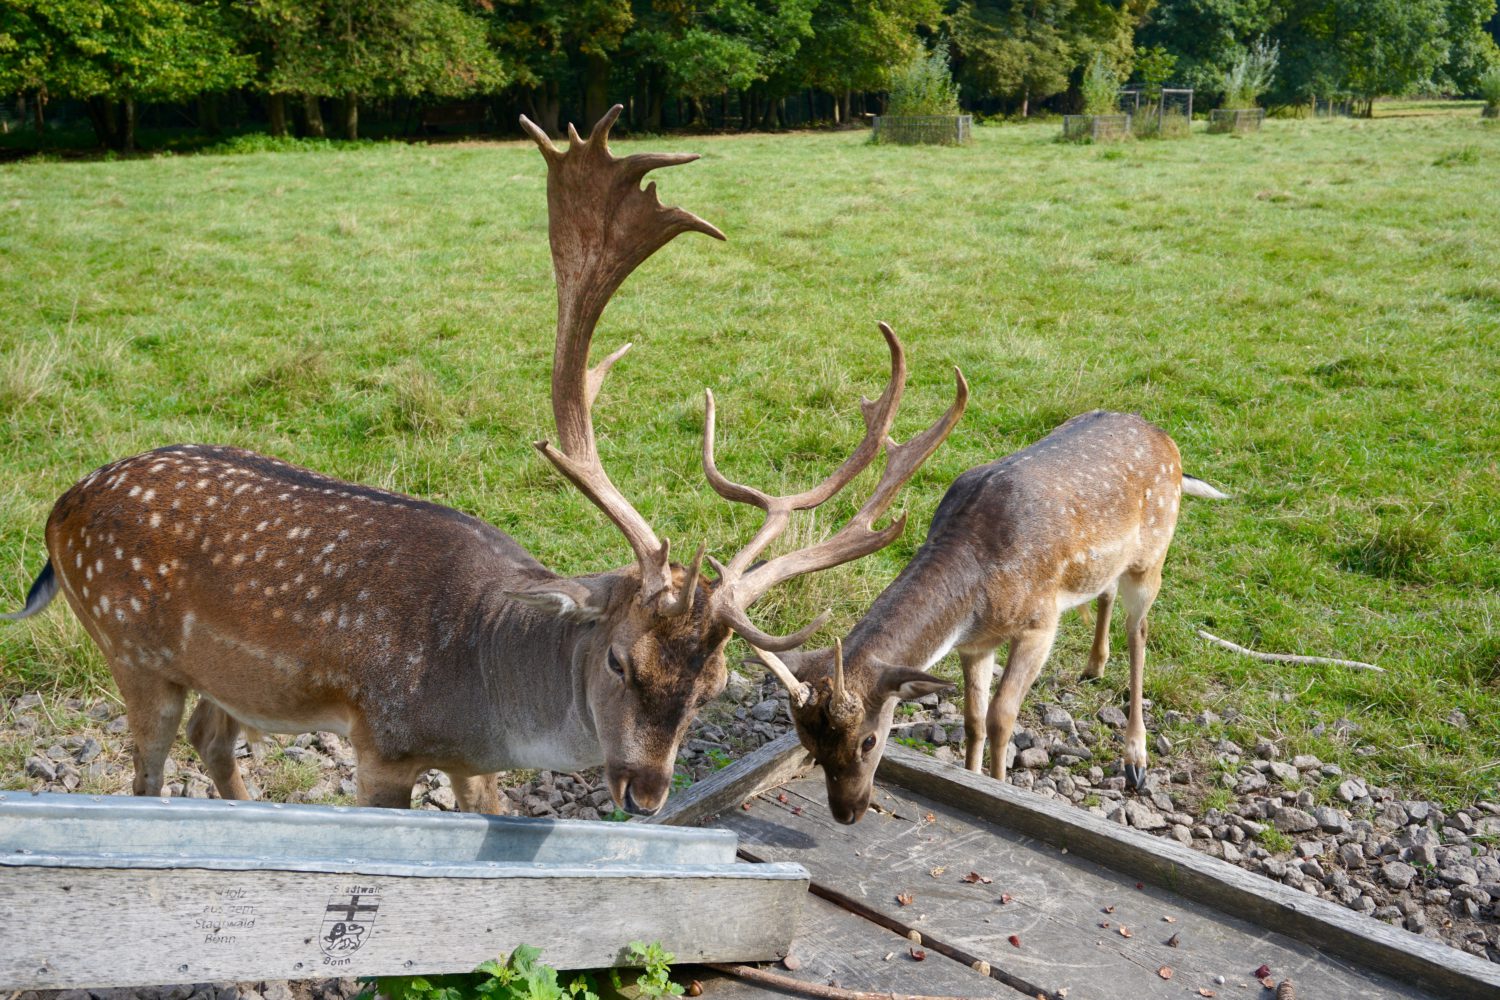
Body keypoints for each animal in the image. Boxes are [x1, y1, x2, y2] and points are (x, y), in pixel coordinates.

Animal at [0, 107, 960, 815]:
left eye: (716, 686)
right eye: (618, 661)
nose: (644, 794)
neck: (483, 685)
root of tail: (58, 510)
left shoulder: (472, 761)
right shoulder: (382, 740)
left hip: (219, 673)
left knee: (212, 737)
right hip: (129, 646)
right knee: (148, 771)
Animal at [750, 410, 1230, 827]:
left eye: (868, 739)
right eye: (807, 742)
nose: (846, 812)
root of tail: (1167, 440)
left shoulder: (1040, 623)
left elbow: (1001, 716)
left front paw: (1001, 786)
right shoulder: (975, 643)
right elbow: (973, 720)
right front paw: (973, 775)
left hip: (1152, 555)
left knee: (1140, 631)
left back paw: (1135, 759)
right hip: (1107, 565)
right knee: (1106, 591)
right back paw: (1093, 666)